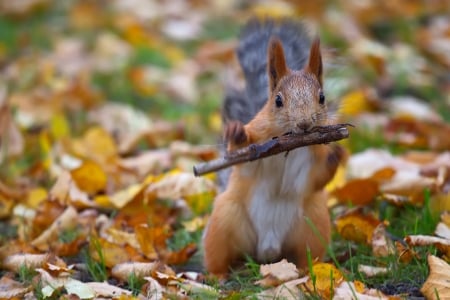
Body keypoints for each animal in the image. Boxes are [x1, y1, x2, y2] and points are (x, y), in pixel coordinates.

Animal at [202, 18, 342, 276]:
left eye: (322, 97)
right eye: (277, 100)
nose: (304, 124)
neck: (290, 145)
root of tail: (269, 249)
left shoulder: (311, 157)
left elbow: (315, 179)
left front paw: (334, 156)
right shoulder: (256, 147)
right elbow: (243, 160)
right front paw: (237, 134)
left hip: (313, 224)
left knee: (307, 255)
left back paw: (306, 271)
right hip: (224, 221)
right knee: (218, 257)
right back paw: (218, 276)